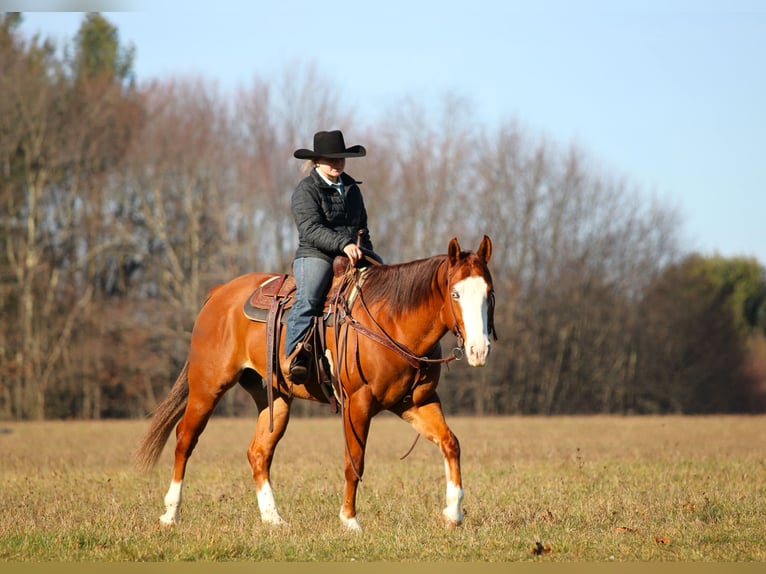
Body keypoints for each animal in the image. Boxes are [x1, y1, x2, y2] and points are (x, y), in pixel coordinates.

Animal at [135, 235, 496, 532]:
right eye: (455, 293)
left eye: (489, 294)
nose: (479, 350)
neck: (393, 319)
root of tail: (219, 293)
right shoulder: (357, 403)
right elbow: (354, 461)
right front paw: (350, 521)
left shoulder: (415, 403)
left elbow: (450, 443)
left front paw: (453, 514)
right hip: (207, 387)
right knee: (185, 440)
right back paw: (170, 514)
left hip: (274, 398)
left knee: (258, 453)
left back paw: (273, 519)